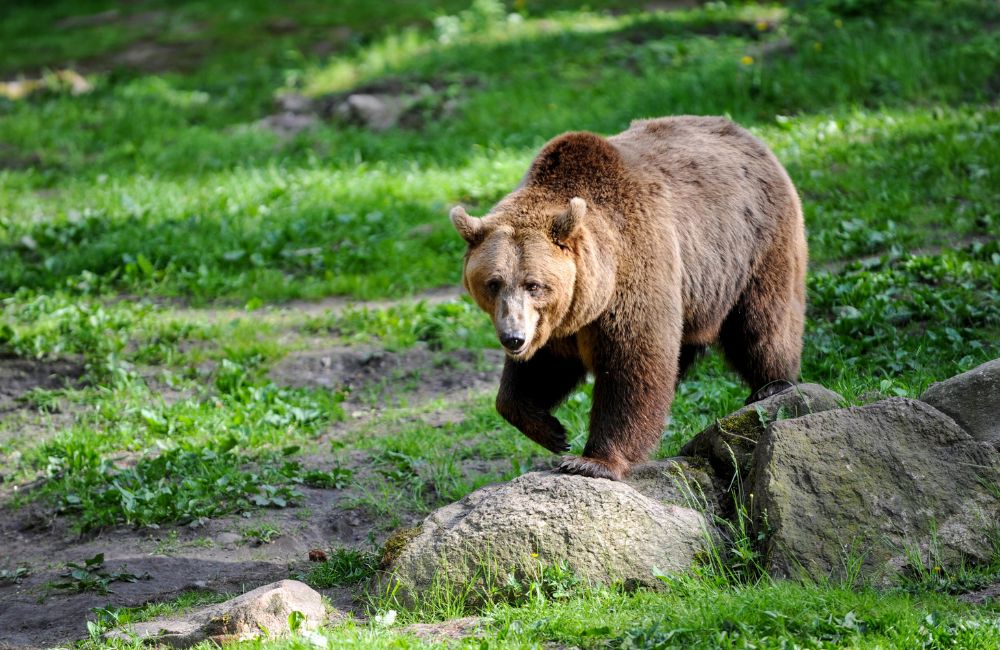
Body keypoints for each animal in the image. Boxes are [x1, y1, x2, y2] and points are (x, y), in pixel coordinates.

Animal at [450, 115, 807, 481]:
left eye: (533, 284)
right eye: (493, 283)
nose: (513, 338)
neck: (593, 292)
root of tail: (746, 134)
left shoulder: (634, 271)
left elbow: (633, 365)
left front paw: (591, 460)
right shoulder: (556, 322)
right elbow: (538, 371)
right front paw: (551, 430)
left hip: (755, 245)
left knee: (762, 322)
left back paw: (772, 384)